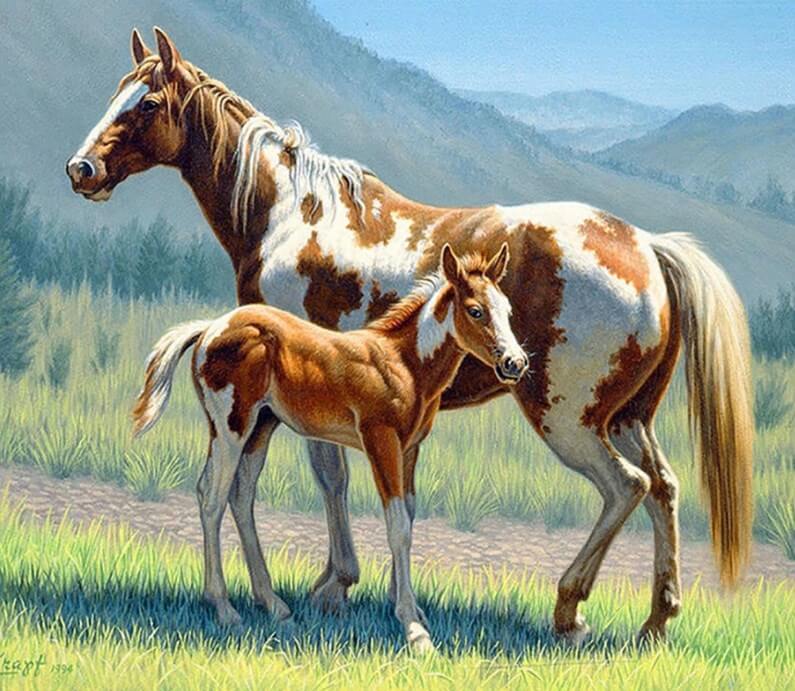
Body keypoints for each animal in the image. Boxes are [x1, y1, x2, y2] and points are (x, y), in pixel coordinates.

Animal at [133, 243, 527, 652]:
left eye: (508, 311)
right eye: (476, 310)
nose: (515, 363)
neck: (404, 363)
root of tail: (211, 328)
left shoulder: (410, 449)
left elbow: (409, 518)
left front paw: (415, 612)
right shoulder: (380, 440)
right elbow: (398, 526)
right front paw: (413, 630)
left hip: (260, 428)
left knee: (240, 495)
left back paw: (274, 605)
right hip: (230, 429)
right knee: (212, 497)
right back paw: (225, 609)